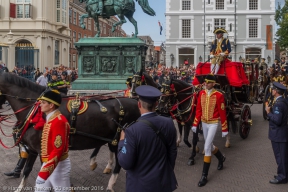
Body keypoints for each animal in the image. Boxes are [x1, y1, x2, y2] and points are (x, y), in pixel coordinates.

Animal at [0, 71, 141, 192]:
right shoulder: (33, 149)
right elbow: (27, 170)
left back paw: (110, 184)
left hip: (120, 140)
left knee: (120, 163)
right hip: (111, 138)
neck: (36, 111)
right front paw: (19, 188)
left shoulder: (44, 151)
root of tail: (135, 101)